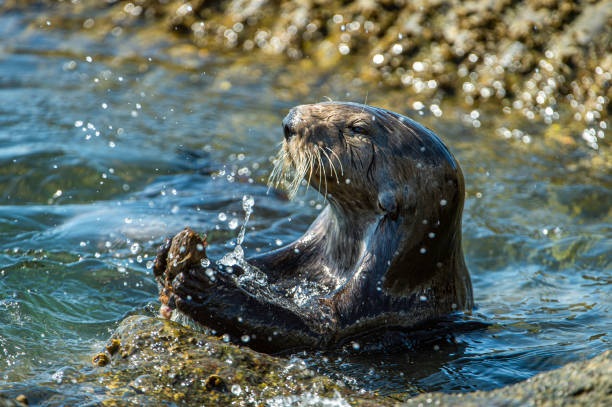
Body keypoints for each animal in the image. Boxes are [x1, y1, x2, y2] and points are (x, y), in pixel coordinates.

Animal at [153, 103, 474, 354]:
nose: (290, 121)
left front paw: (201, 284)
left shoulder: (371, 305)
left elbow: (313, 330)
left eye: (358, 128)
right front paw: (171, 253)